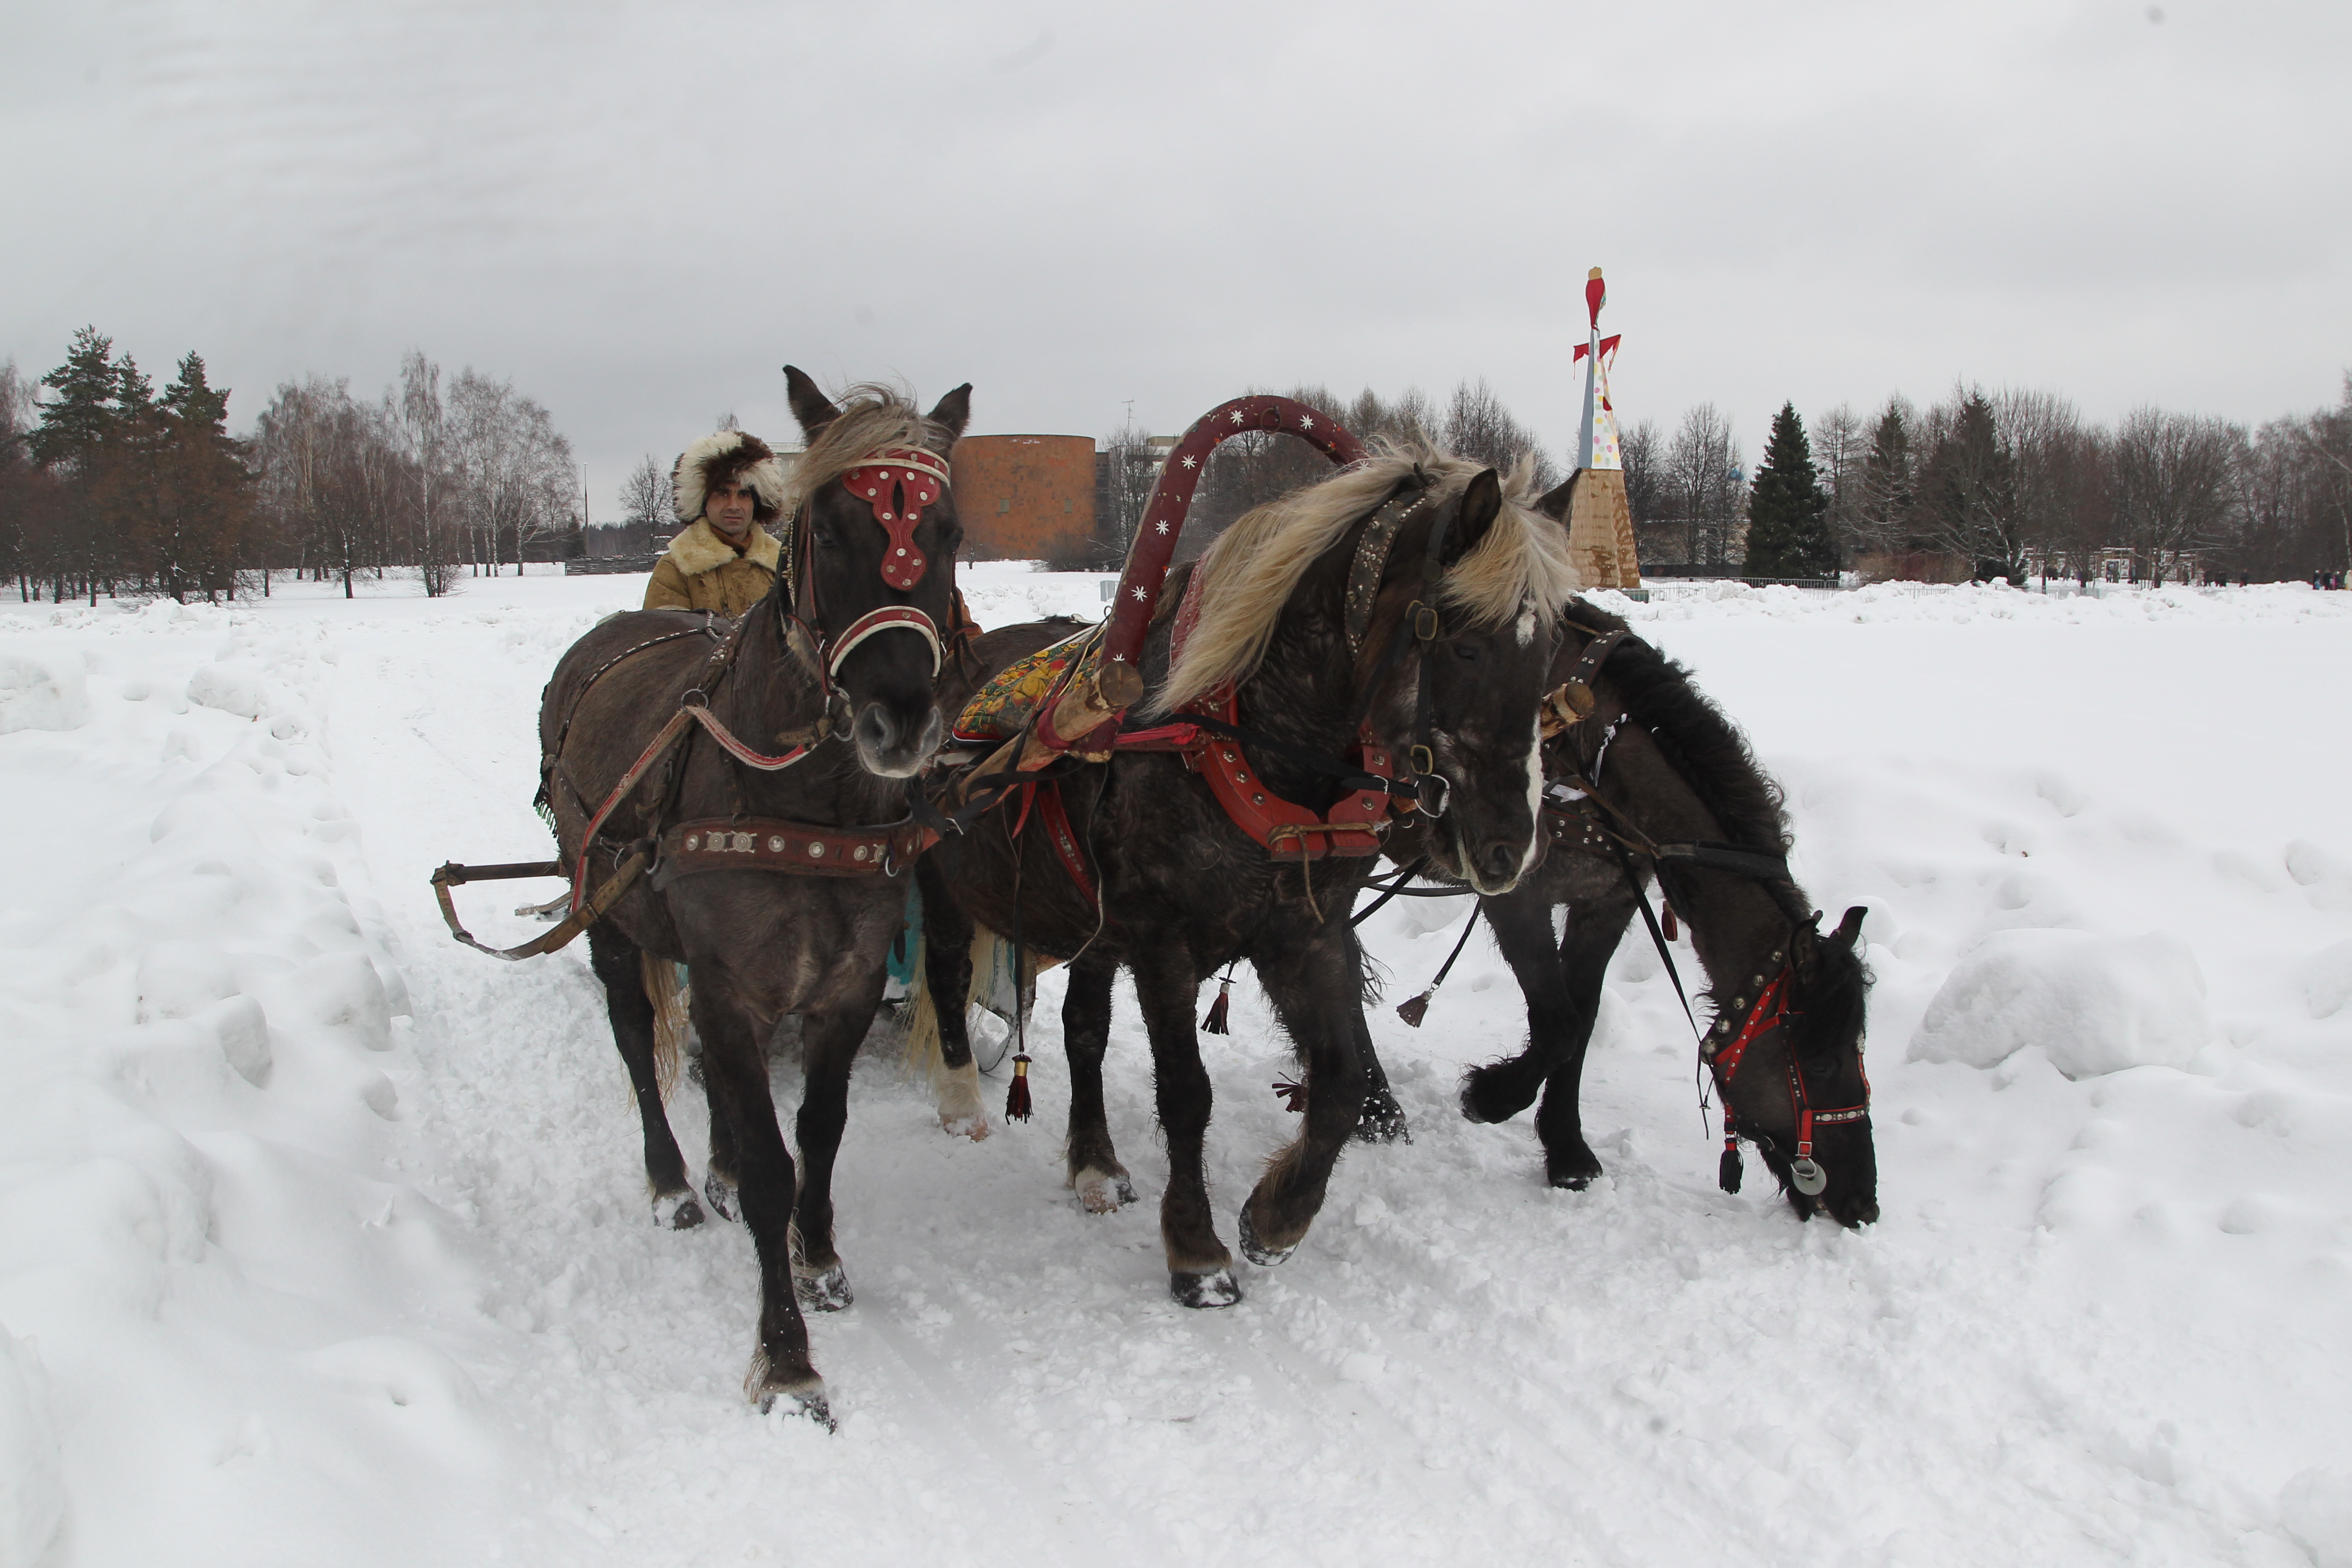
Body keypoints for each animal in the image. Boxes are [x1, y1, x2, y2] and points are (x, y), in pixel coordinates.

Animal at [539, 371, 969, 1420]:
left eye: (946, 530)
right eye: (831, 530)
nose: (903, 720)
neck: (803, 797)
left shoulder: (843, 987)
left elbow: (819, 1130)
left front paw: (817, 1254)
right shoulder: (736, 988)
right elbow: (776, 1163)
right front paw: (786, 1352)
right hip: (610, 915)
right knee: (637, 1041)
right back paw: (674, 1181)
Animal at [1383, 601, 1881, 1222]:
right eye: (1822, 1064)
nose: (1863, 1202)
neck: (1592, 757)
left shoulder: (1609, 904)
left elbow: (1582, 1021)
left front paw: (1567, 1152)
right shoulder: (1515, 892)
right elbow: (1559, 1025)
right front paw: (1492, 1096)